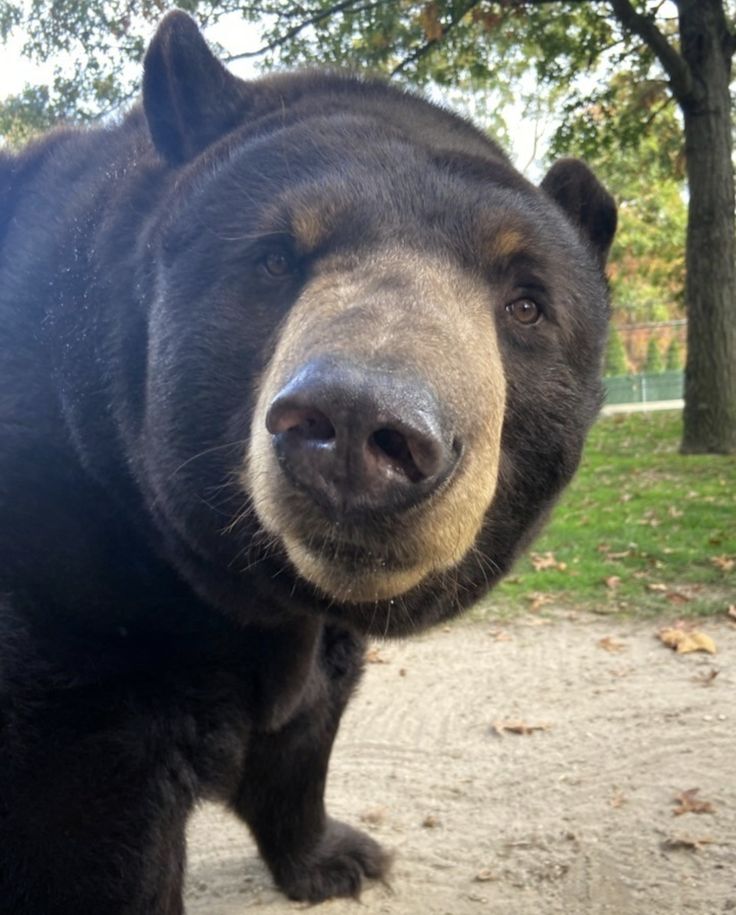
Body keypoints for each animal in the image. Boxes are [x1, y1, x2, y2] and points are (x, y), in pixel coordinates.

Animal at [0, 10, 616, 914]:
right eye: (273, 257)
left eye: (526, 302)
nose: (361, 427)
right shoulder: (70, 604)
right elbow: (85, 825)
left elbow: (308, 717)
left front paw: (337, 854)